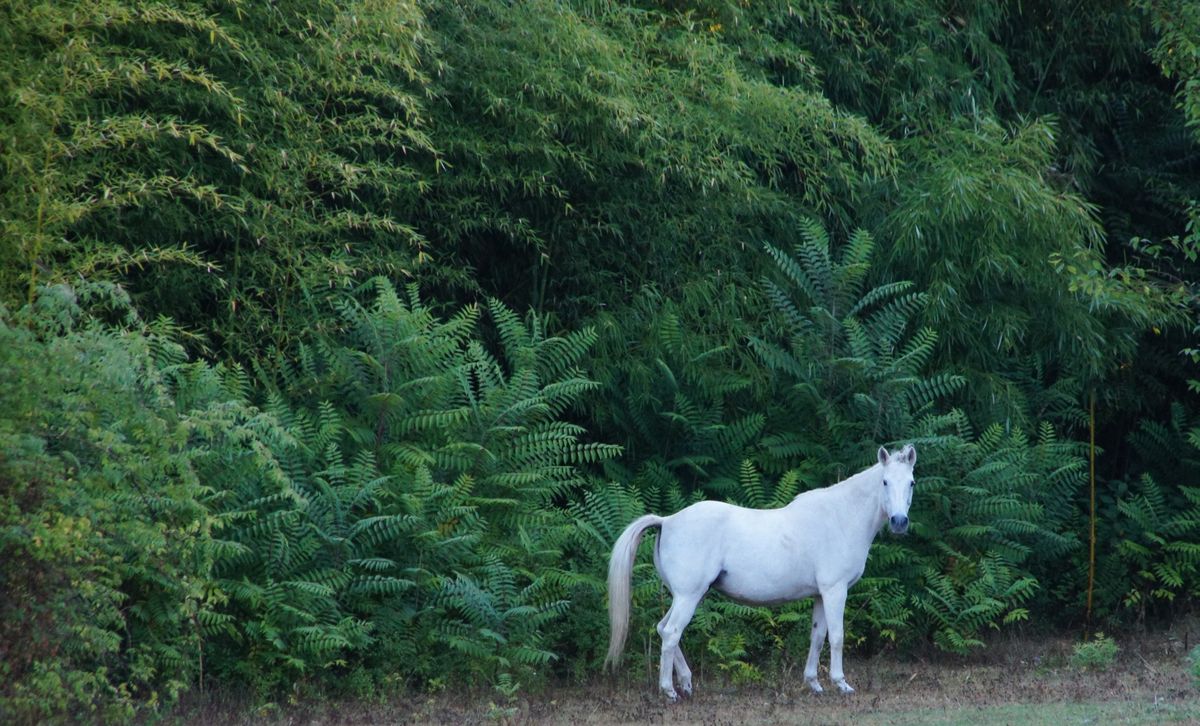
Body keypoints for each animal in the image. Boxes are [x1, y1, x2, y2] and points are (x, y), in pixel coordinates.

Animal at [609, 444, 916, 700]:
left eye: (911, 482)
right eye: (885, 482)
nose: (900, 522)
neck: (840, 517)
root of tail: (667, 521)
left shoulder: (820, 594)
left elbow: (817, 637)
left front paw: (814, 684)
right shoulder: (835, 591)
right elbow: (838, 637)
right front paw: (841, 684)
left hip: (684, 596)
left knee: (663, 630)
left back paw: (686, 683)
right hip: (688, 596)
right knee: (672, 633)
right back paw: (669, 690)